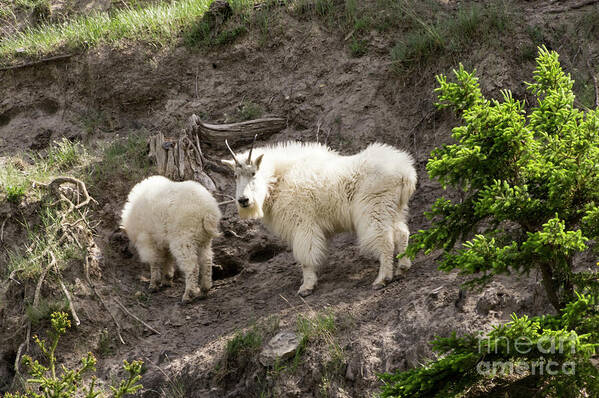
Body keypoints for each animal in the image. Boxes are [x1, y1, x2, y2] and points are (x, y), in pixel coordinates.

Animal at [221, 140, 418, 296]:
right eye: (235, 175)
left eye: (253, 173)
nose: (243, 200)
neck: (278, 179)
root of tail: (406, 173)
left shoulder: (303, 224)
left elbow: (305, 256)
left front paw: (307, 286)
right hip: (394, 209)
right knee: (402, 233)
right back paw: (402, 267)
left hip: (374, 209)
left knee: (385, 241)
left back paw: (382, 279)